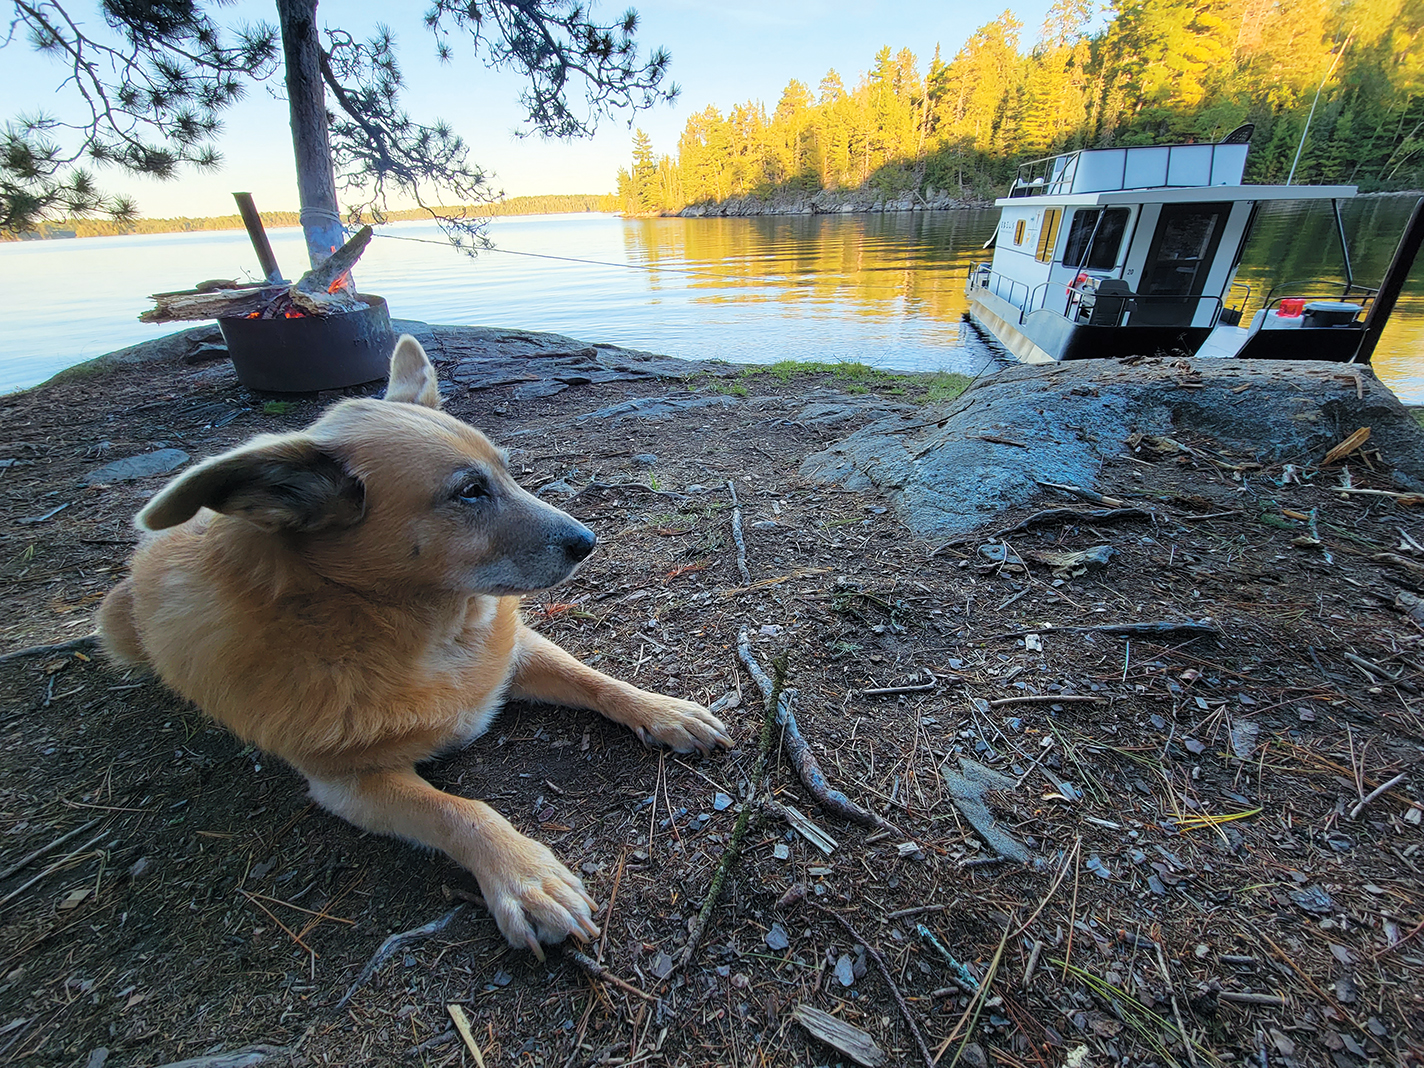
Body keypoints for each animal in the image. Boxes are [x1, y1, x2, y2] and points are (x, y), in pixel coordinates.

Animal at [97, 334, 734, 951]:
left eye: (506, 472)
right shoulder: (350, 783)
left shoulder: (512, 655)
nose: (588, 540)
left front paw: (663, 711)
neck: (430, 633)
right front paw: (523, 877)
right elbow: (458, 811)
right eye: (469, 492)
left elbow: (596, 680)